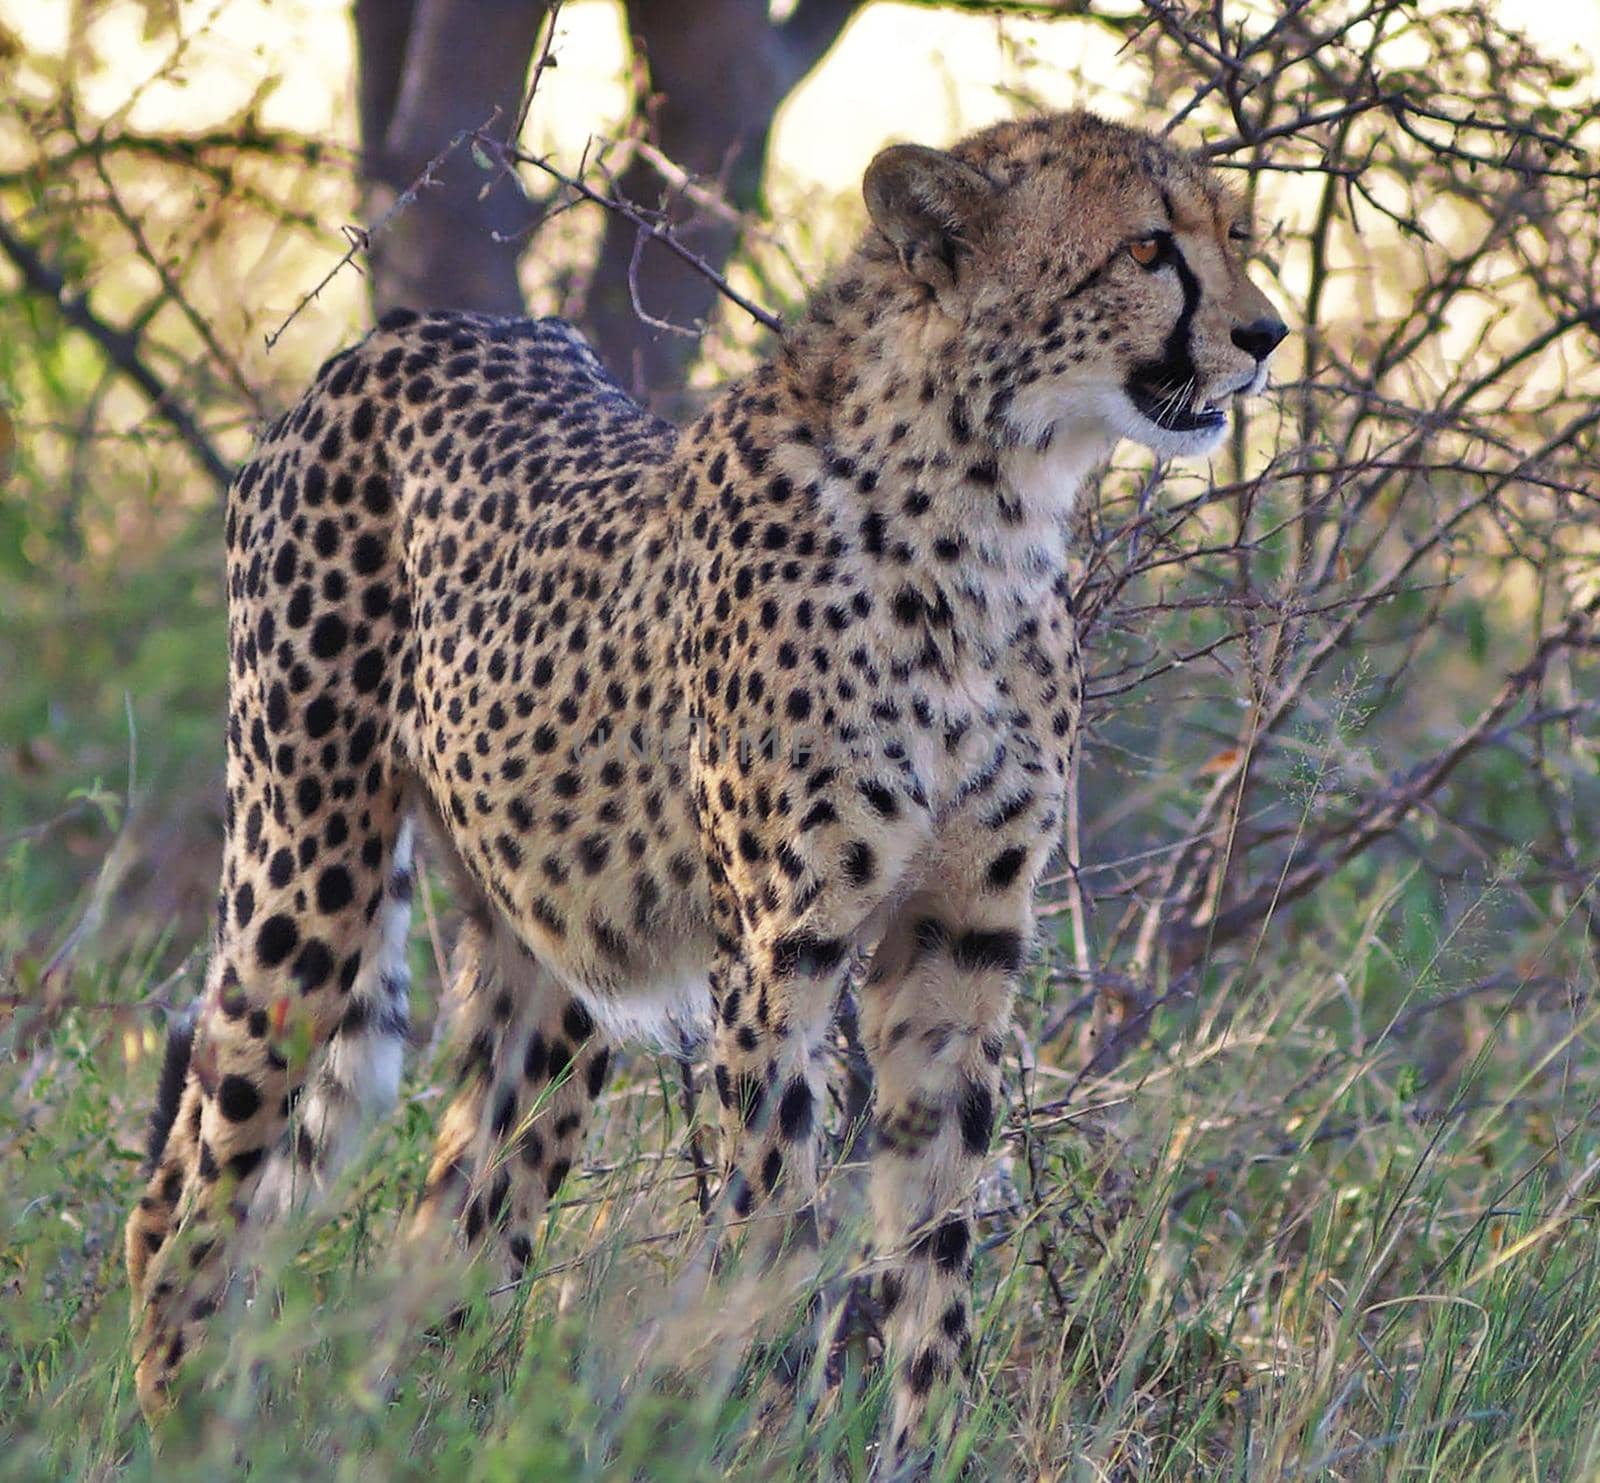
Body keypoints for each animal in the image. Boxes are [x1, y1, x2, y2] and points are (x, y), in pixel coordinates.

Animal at [128, 110, 1286, 1465]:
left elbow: (935, 1232)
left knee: (450, 1215)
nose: (1264, 336)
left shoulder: (961, 937)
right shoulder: (783, 943)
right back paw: (174, 1412)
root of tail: (409, 330)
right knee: (194, 1172)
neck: (989, 507)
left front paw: (922, 1443)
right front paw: (775, 1424)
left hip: (556, 967)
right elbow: (780, 1217)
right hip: (307, 876)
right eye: (1148, 248)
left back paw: (407, 1422)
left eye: (1231, 232)